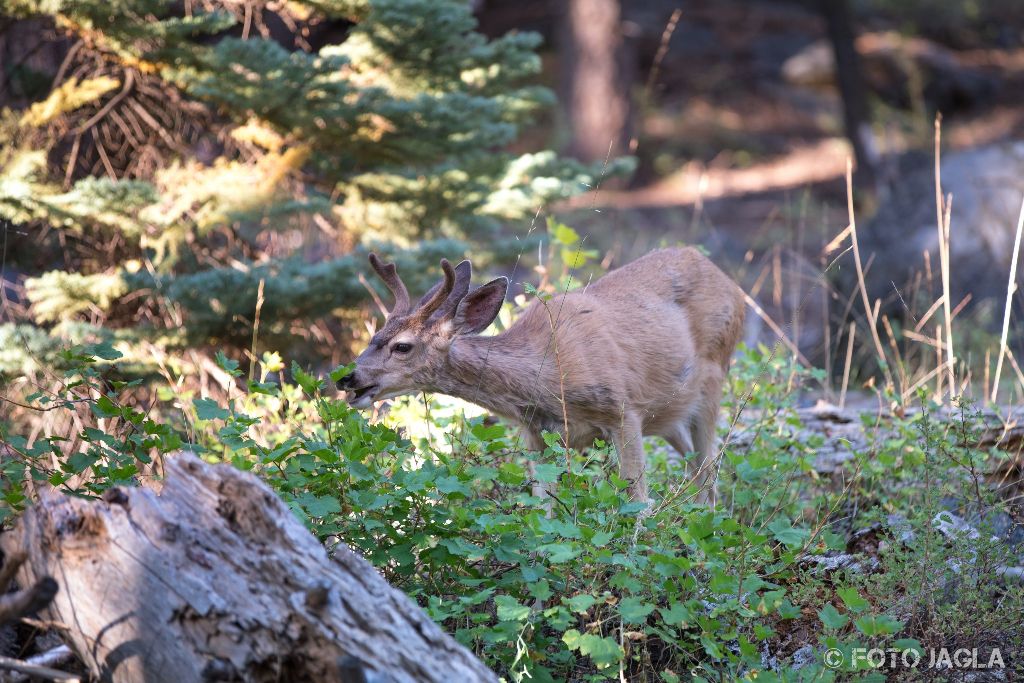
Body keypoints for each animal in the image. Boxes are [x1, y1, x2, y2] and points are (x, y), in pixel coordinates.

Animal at [339, 248, 749, 505]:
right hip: (668, 414)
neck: (547, 375)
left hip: (714, 376)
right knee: (697, 468)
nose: (348, 379)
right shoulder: (536, 434)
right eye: (375, 335)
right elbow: (543, 507)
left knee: (710, 470)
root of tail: (730, 282)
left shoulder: (623, 409)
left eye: (402, 346)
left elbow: (639, 500)